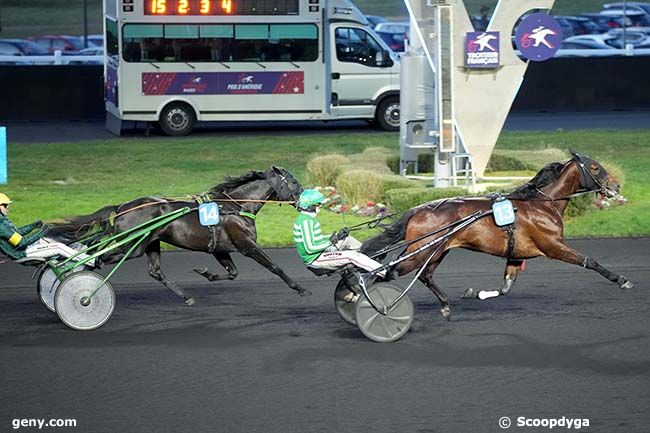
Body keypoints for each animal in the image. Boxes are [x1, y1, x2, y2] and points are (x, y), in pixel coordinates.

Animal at [49, 165, 308, 304]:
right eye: (294, 182)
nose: (305, 197)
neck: (235, 206)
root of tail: (123, 207)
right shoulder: (247, 245)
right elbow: (275, 267)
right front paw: (300, 288)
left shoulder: (220, 248)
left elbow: (232, 273)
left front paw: (205, 273)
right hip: (130, 247)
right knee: (96, 259)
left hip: (150, 244)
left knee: (154, 271)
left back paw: (186, 297)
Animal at [360, 151, 628, 318]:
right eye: (595, 167)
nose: (616, 186)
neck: (542, 204)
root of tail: (417, 210)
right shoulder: (553, 246)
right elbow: (589, 261)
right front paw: (621, 280)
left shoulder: (517, 255)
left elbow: (506, 287)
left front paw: (474, 293)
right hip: (421, 252)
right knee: (386, 272)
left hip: (435, 252)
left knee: (423, 275)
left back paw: (445, 305)